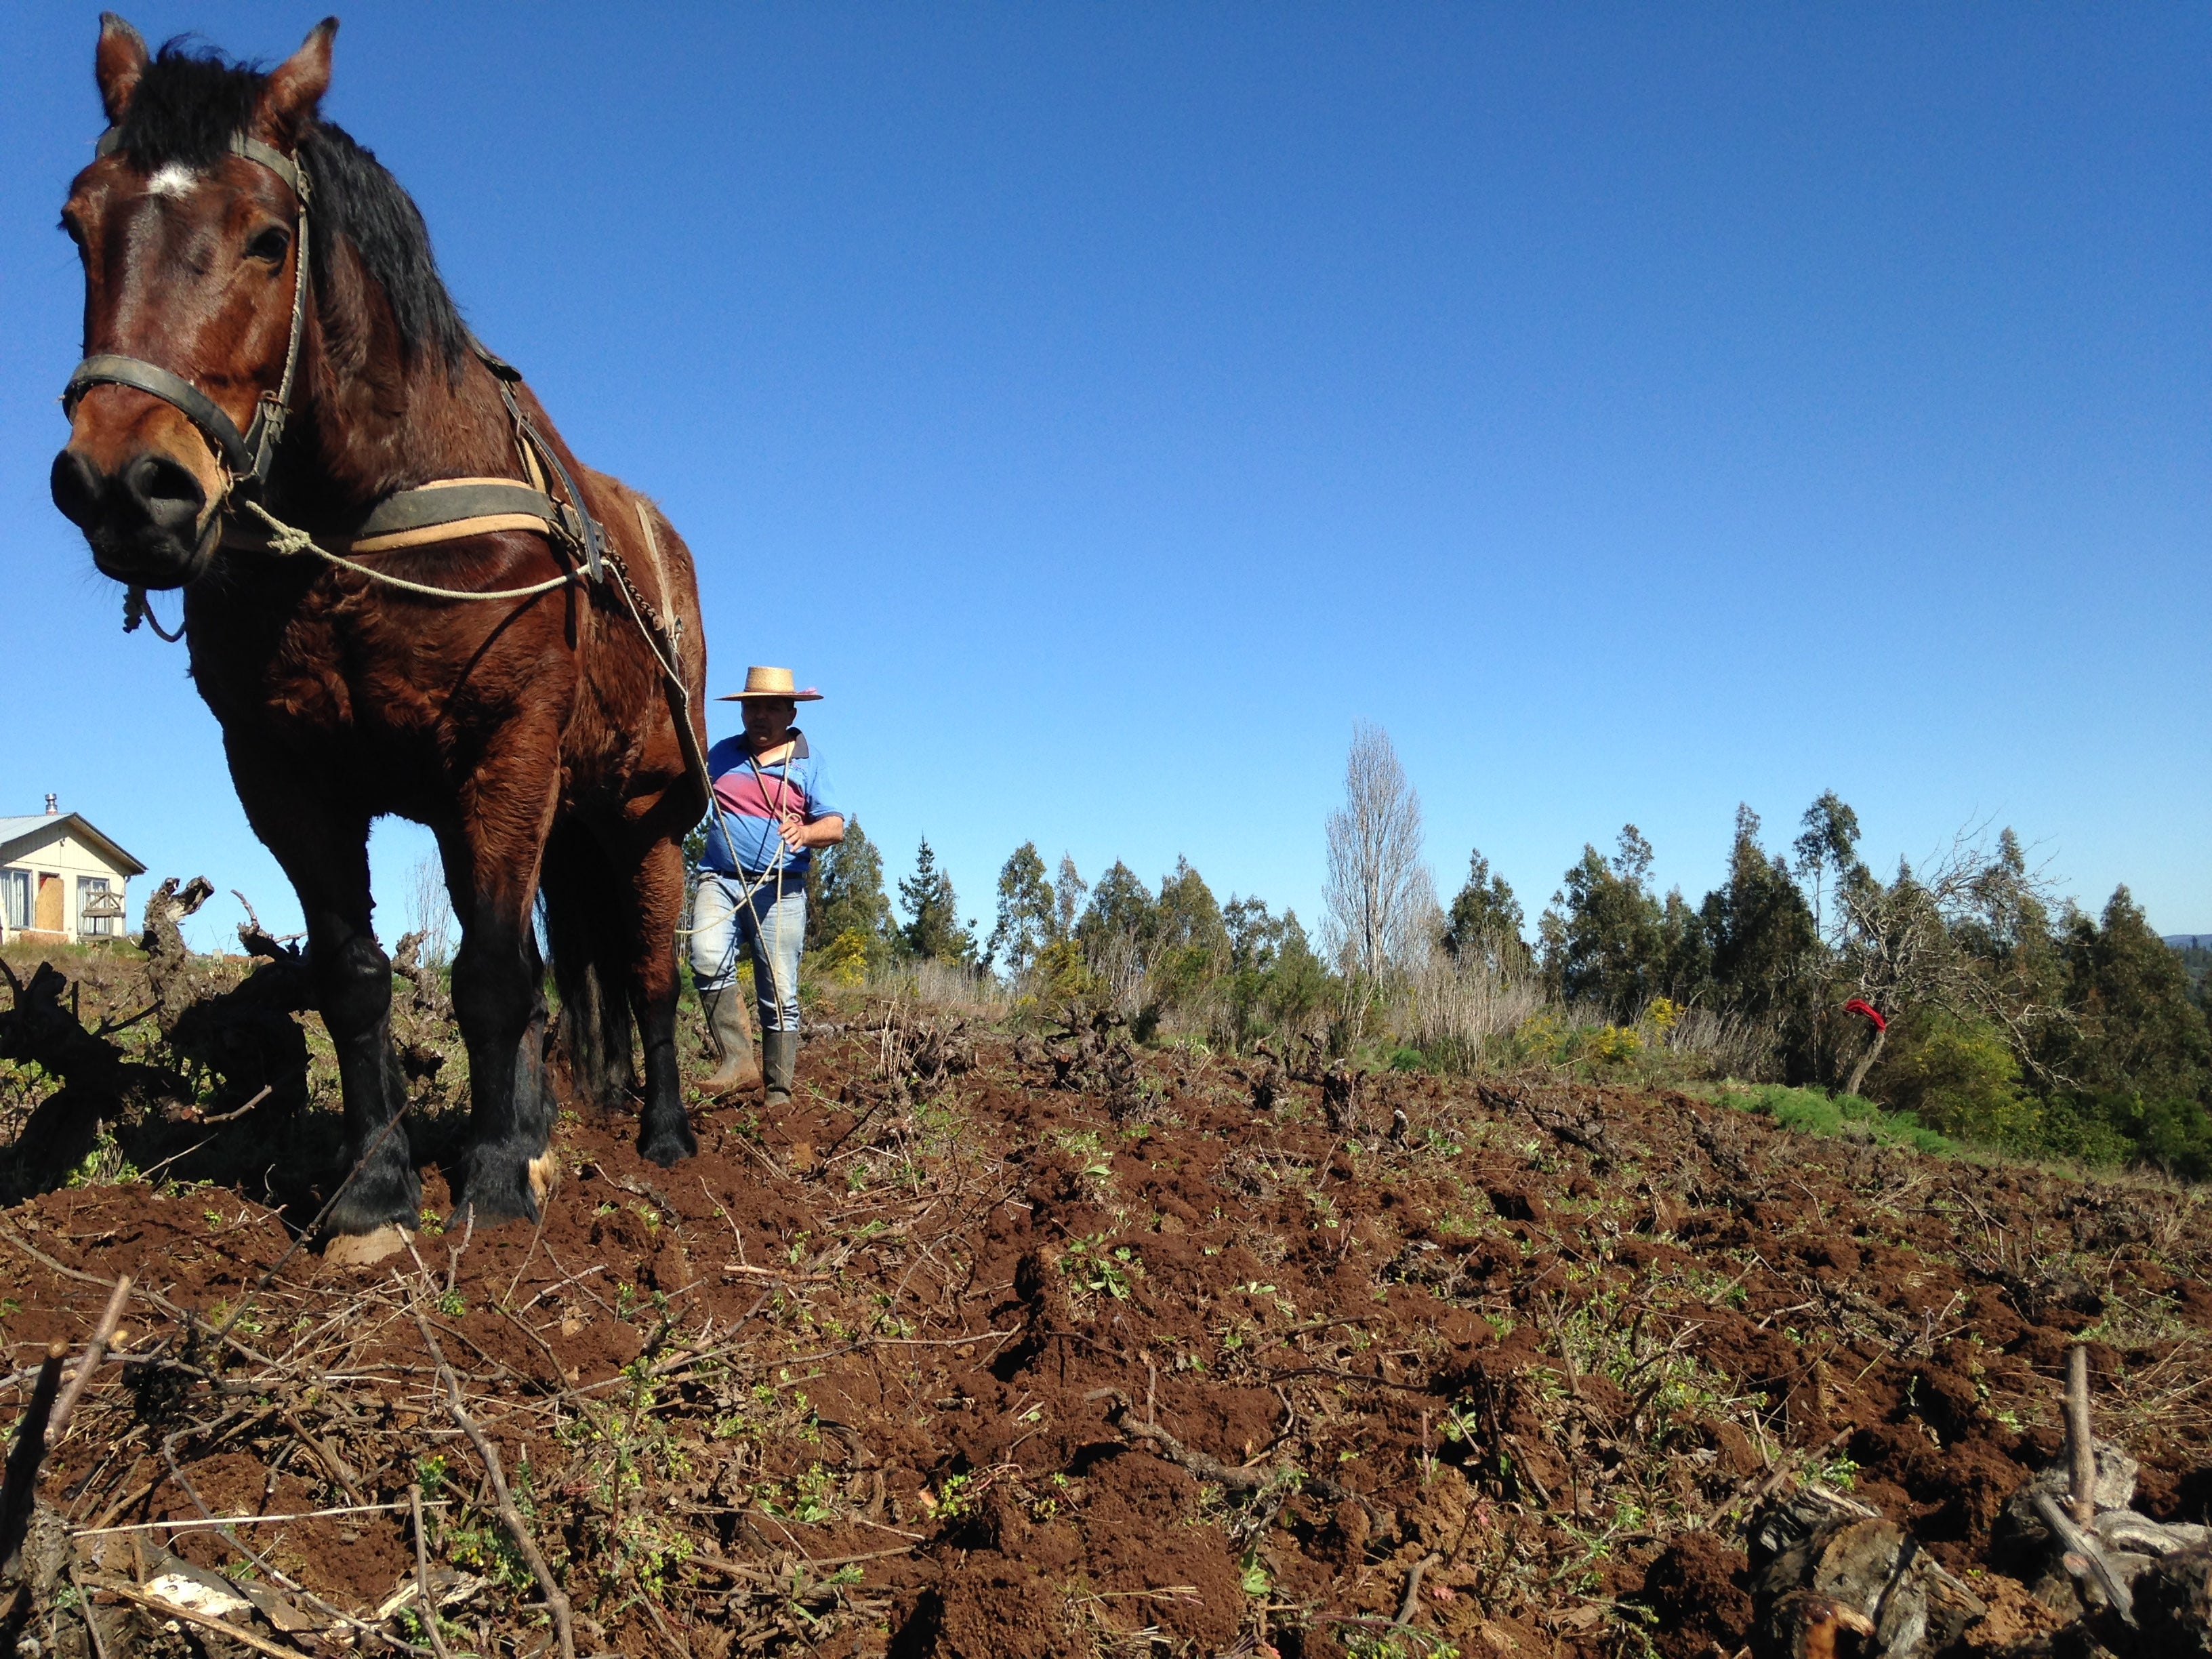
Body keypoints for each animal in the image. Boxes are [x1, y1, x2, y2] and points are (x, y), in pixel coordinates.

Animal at [52, 13, 708, 1238]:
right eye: (78, 225)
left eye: (268, 239)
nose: (122, 484)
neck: (364, 515)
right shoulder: (282, 768)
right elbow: (355, 974)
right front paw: (374, 1191)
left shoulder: (507, 746)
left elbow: (492, 972)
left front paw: (491, 1183)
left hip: (642, 817)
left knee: (647, 975)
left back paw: (666, 1133)